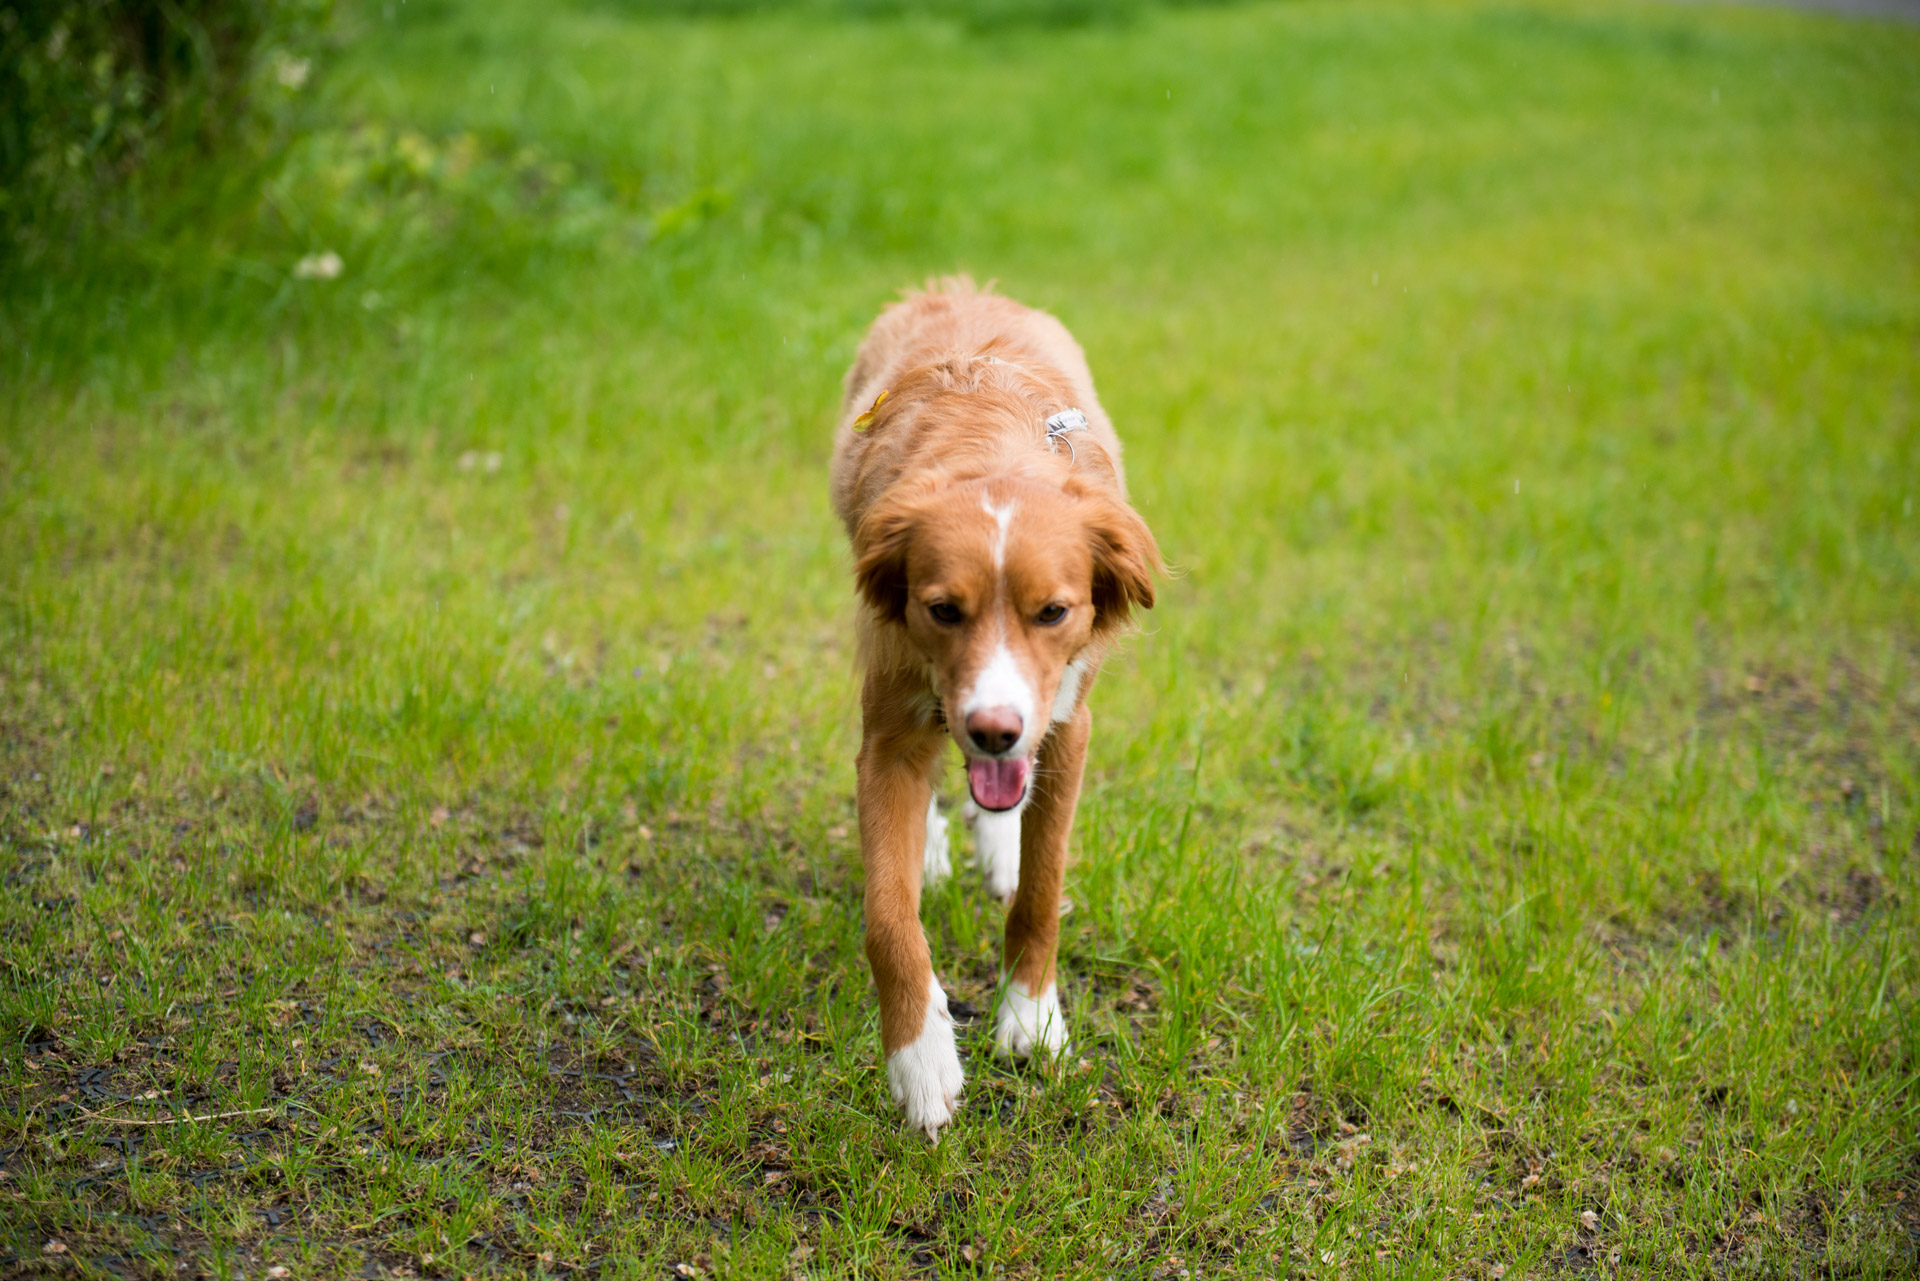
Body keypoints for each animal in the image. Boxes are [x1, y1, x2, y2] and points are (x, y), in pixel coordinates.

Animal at [821, 280, 1152, 1144]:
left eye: (1053, 611)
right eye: (943, 609)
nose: (991, 728)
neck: (992, 451)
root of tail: (958, 285)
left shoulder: (1066, 728)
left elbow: (1041, 890)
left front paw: (1031, 1018)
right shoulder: (892, 731)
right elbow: (888, 918)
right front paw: (920, 1057)